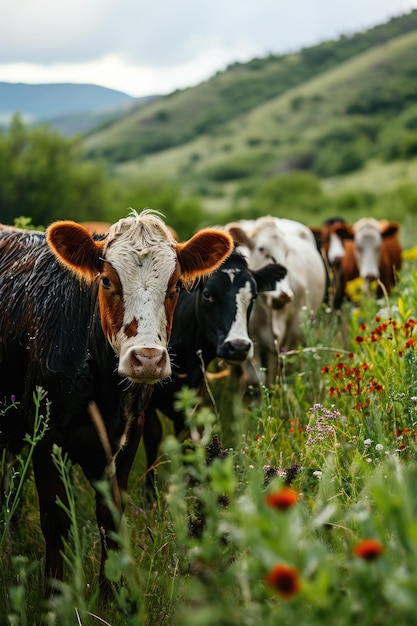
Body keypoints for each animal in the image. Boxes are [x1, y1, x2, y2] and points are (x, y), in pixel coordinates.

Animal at [0, 210, 232, 588]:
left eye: (175, 287)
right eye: (107, 282)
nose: (148, 358)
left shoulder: (128, 434)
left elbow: (111, 520)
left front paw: (111, 593)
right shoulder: (46, 436)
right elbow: (54, 522)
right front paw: (55, 594)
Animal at [228, 214, 324, 382]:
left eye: (287, 252)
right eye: (261, 249)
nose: (285, 294)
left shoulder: (296, 326)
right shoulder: (248, 339)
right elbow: (257, 378)